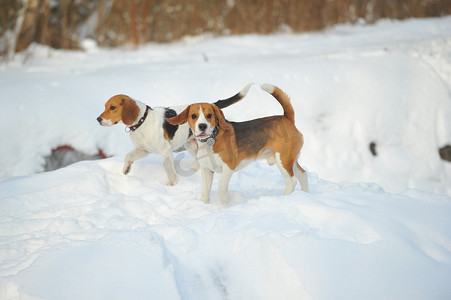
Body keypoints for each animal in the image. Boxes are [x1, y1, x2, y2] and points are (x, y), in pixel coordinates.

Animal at [97, 83, 252, 184]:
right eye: (105, 107)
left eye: (112, 107)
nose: (98, 119)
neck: (142, 121)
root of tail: (211, 106)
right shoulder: (143, 150)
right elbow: (128, 156)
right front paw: (126, 168)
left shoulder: (166, 151)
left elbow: (170, 170)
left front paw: (172, 185)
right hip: (191, 145)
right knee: (198, 161)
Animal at [168, 83, 308, 203]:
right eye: (193, 116)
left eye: (209, 115)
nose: (202, 126)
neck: (212, 138)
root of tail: (287, 118)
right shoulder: (206, 169)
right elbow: (205, 192)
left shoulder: (228, 167)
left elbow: (221, 187)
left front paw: (225, 205)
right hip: (290, 160)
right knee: (303, 174)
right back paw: (305, 194)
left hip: (283, 160)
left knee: (292, 181)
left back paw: (285, 198)